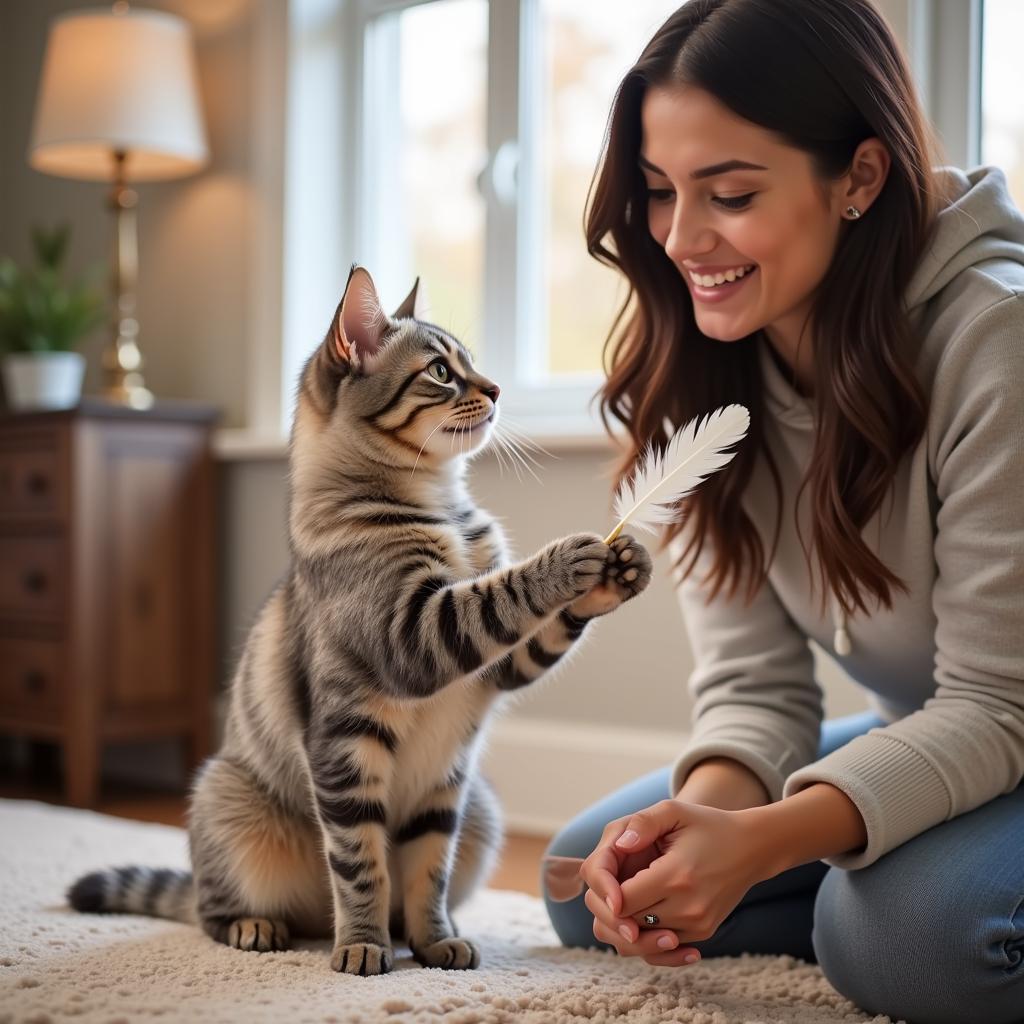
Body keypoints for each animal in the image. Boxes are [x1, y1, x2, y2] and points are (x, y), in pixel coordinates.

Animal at [68, 266, 651, 974]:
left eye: (472, 363)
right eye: (441, 371)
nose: (496, 388)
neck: (440, 505)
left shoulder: (490, 681)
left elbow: (429, 872)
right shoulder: (406, 650)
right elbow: (362, 866)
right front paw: (364, 948)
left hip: (475, 805)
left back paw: (417, 932)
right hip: (227, 800)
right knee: (214, 909)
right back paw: (265, 928)